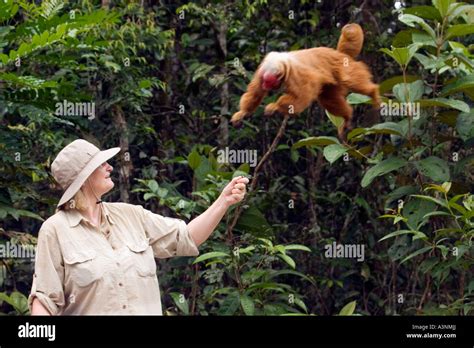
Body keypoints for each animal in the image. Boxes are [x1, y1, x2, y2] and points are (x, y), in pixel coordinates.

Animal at [230, 23, 382, 141]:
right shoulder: (262, 70)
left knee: (351, 81)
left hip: (344, 67)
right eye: (265, 81)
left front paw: (275, 107)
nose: (265, 85)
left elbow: (304, 95)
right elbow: (255, 93)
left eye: (269, 82)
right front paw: (243, 113)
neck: (283, 65)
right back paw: (347, 116)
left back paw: (373, 93)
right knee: (328, 98)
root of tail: (339, 54)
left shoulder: (297, 75)